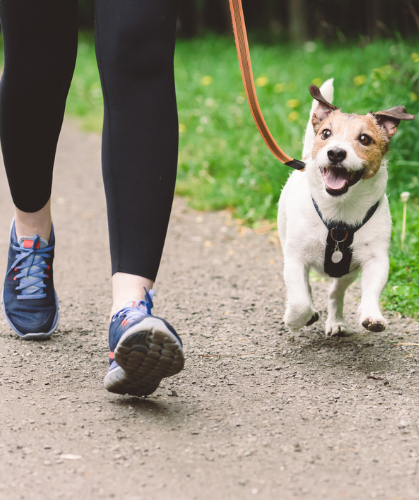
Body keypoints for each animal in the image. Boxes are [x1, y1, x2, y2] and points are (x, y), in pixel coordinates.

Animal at [278, 79, 414, 336]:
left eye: (364, 139)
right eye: (326, 133)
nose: (336, 152)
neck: (340, 213)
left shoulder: (376, 259)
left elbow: (371, 290)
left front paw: (372, 315)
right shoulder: (294, 258)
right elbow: (300, 300)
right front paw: (294, 319)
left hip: (347, 272)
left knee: (335, 292)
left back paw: (336, 321)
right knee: (305, 290)